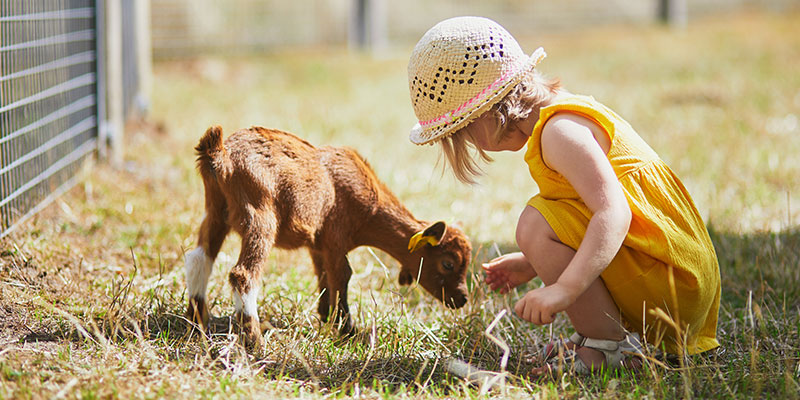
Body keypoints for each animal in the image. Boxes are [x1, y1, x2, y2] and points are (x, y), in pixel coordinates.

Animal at [184, 125, 472, 350]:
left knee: (199, 258)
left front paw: (325, 316)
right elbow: (342, 275)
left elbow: (323, 275)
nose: (462, 300)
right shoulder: (336, 237)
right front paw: (347, 329)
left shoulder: (318, 243)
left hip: (216, 210)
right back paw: (255, 342)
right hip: (260, 214)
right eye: (447, 263)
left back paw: (196, 323)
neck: (370, 205)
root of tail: (221, 154)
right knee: (243, 274)